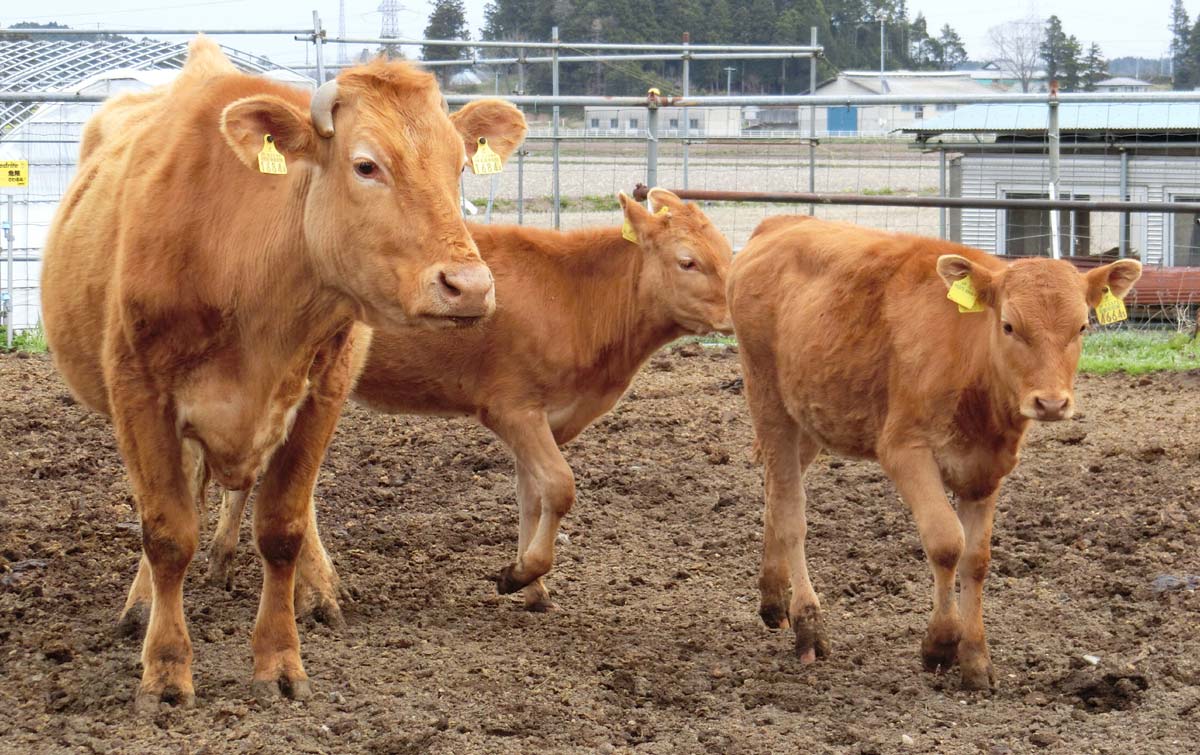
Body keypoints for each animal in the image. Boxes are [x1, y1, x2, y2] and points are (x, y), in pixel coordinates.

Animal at [39, 36, 525, 705]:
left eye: (457, 167)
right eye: (366, 165)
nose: (470, 286)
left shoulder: (320, 395)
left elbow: (283, 527)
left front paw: (279, 660)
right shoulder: (140, 394)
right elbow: (166, 532)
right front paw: (164, 669)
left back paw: (317, 591)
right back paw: (143, 604)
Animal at [202, 188, 734, 612]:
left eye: (727, 250)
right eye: (687, 260)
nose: (734, 312)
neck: (576, 296)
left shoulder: (548, 419)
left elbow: (532, 495)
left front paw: (533, 587)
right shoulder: (512, 407)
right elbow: (560, 486)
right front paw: (519, 575)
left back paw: (225, 562)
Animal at [729, 213, 1142, 691]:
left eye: (1081, 327)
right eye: (1009, 326)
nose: (1052, 403)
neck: (970, 359)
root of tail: (781, 222)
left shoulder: (987, 468)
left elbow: (976, 559)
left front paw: (976, 659)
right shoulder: (904, 449)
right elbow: (946, 542)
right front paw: (941, 644)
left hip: (810, 415)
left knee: (775, 493)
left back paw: (773, 598)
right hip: (767, 397)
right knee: (791, 511)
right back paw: (808, 624)